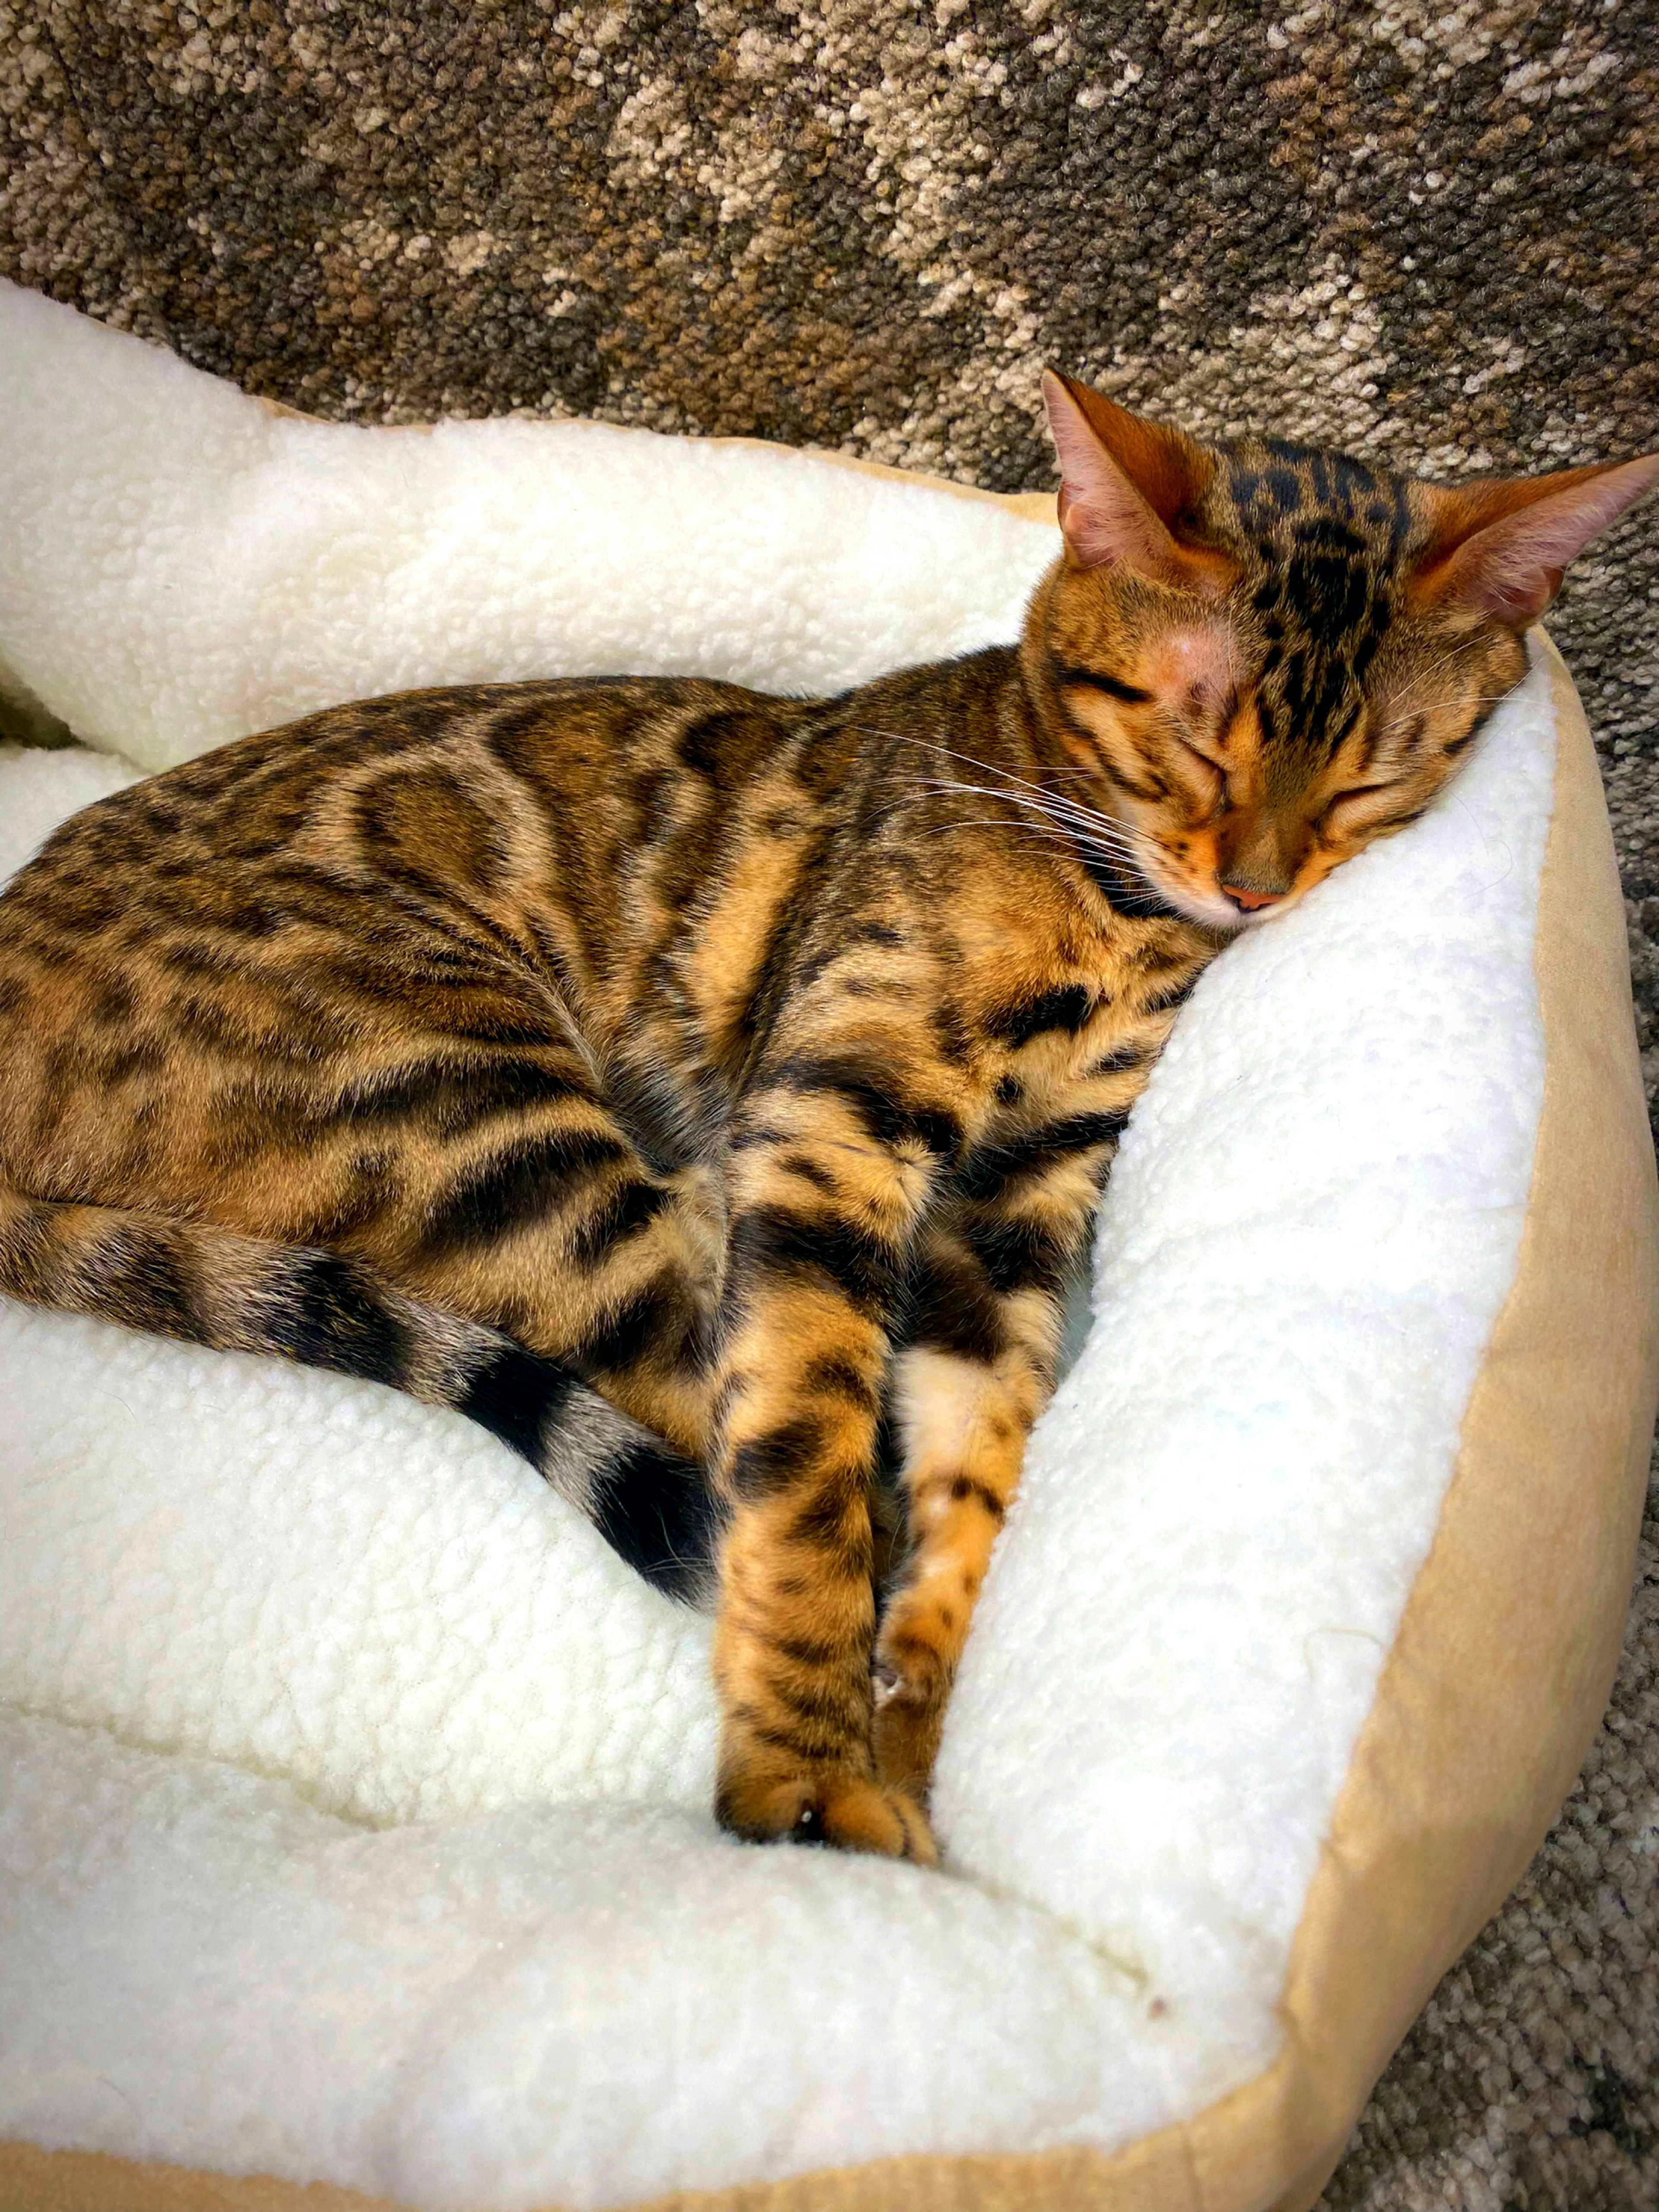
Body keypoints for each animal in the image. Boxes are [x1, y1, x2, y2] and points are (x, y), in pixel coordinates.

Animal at [0, 372, 1654, 1858]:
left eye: (1373, 780)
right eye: (1196, 741)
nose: (1252, 890)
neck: (1108, 908)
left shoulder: (1022, 1198)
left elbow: (980, 1454)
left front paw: (918, 1706)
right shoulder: (826, 1129)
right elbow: (803, 1476)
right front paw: (810, 1763)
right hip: (493, 1126)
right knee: (710, 1408)